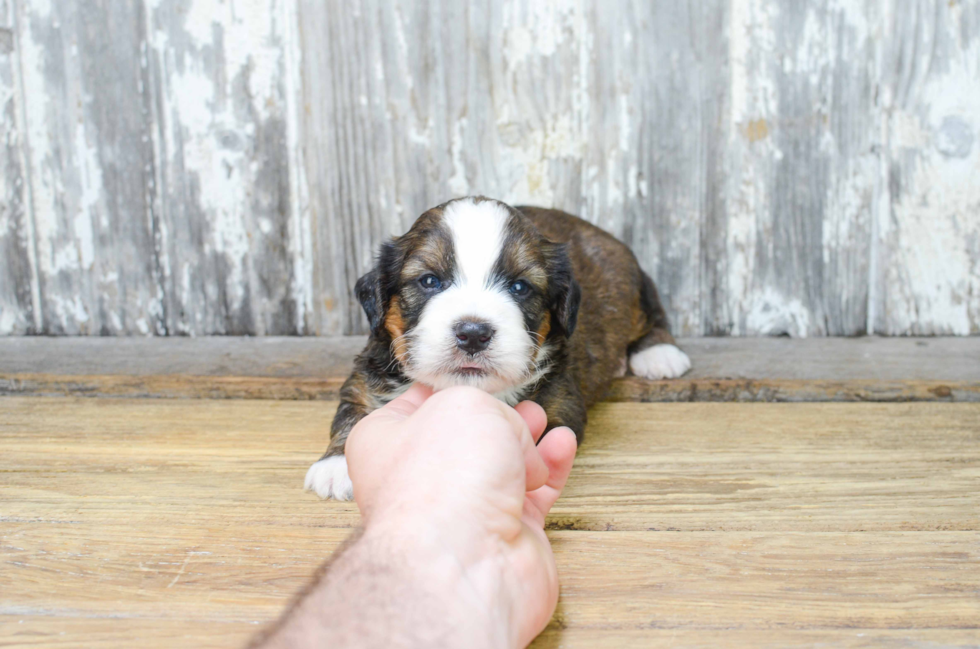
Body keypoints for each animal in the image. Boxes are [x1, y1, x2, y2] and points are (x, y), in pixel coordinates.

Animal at [306, 195, 688, 498]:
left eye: (519, 287)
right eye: (429, 281)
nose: (473, 334)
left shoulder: (558, 400)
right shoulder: (369, 375)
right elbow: (354, 411)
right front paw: (337, 466)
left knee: (651, 312)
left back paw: (658, 353)